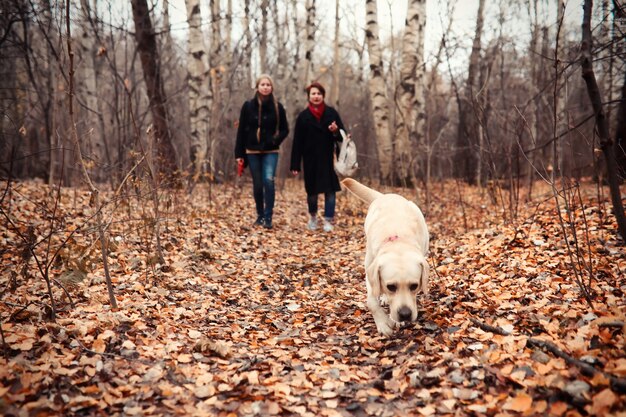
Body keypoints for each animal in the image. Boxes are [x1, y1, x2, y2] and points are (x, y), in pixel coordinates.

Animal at [338, 178, 426, 334]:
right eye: (391, 287)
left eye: (414, 286)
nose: (405, 314)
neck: (397, 241)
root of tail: (386, 195)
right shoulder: (370, 272)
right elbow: (371, 301)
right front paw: (383, 323)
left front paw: (395, 320)